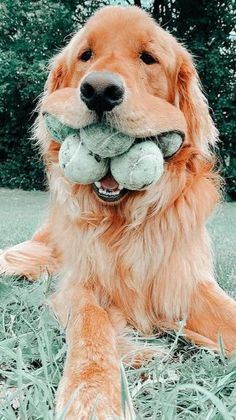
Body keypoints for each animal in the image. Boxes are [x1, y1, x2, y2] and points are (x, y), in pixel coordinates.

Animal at [1, 4, 236, 418]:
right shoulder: (80, 284)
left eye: (148, 58)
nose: (99, 91)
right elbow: (92, 325)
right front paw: (92, 396)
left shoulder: (184, 281)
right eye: (86, 55)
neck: (124, 221)